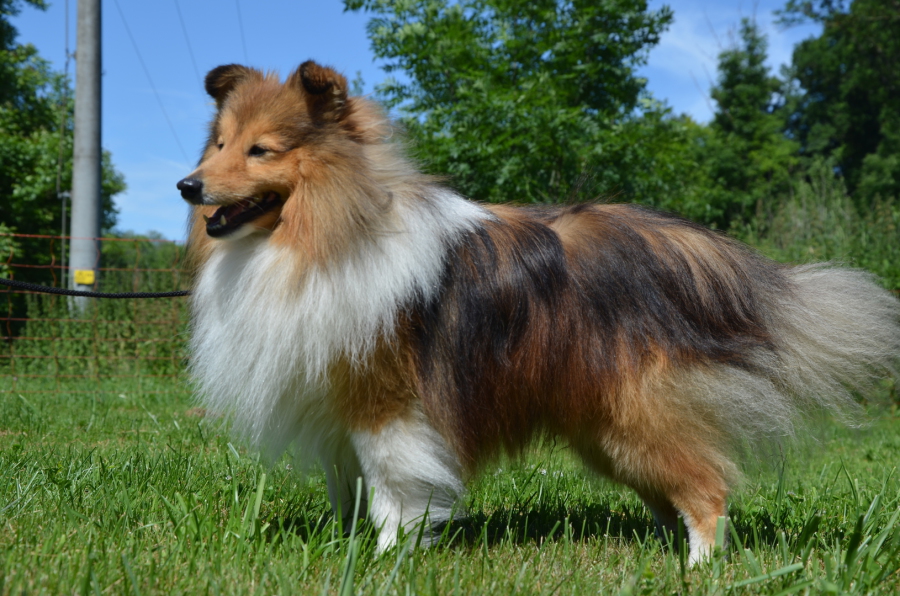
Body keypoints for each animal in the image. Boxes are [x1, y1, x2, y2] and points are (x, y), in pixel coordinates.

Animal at [177, 61, 900, 564]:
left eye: (262, 150)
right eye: (218, 143)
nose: (188, 185)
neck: (322, 232)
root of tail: (695, 250)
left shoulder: (388, 409)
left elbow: (394, 495)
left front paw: (386, 559)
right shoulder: (337, 411)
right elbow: (351, 492)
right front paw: (346, 548)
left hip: (636, 416)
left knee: (708, 489)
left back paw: (698, 569)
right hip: (606, 428)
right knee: (676, 488)